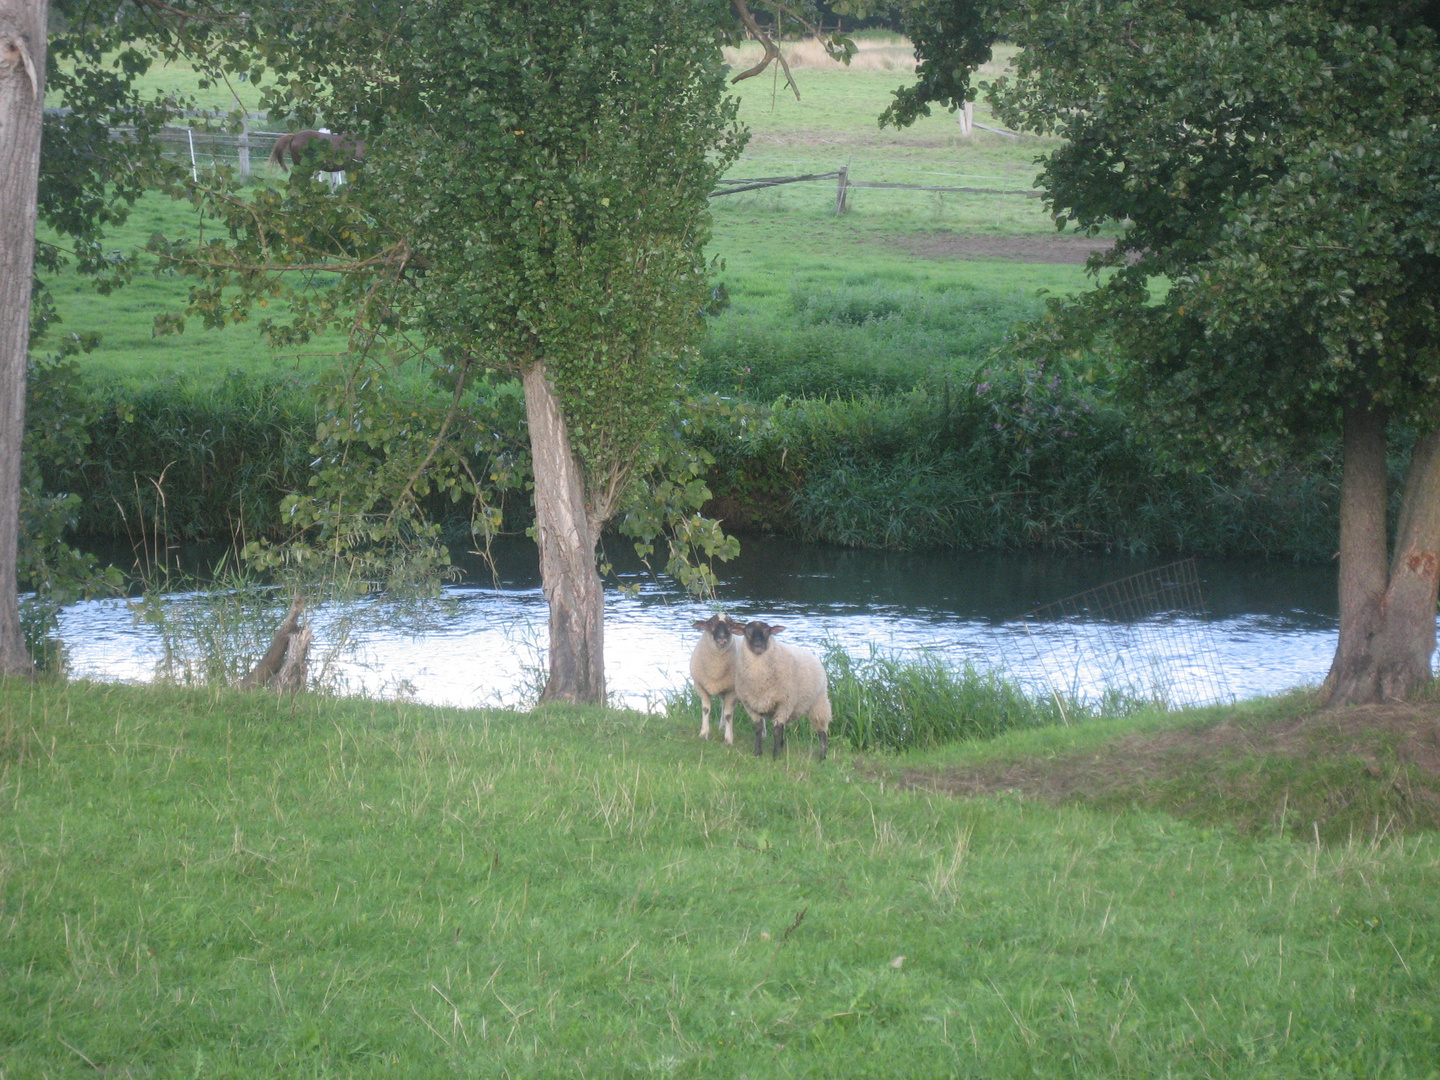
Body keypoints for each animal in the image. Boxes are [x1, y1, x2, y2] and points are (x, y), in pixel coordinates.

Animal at [731, 616, 835, 760]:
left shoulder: (784, 702)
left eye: (767, 632)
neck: (759, 680)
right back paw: (781, 745)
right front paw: (758, 752)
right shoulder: (751, 705)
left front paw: (775, 756)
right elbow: (758, 729)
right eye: (748, 632)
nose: (758, 646)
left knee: (822, 730)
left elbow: (776, 730)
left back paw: (822, 757)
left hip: (819, 701)